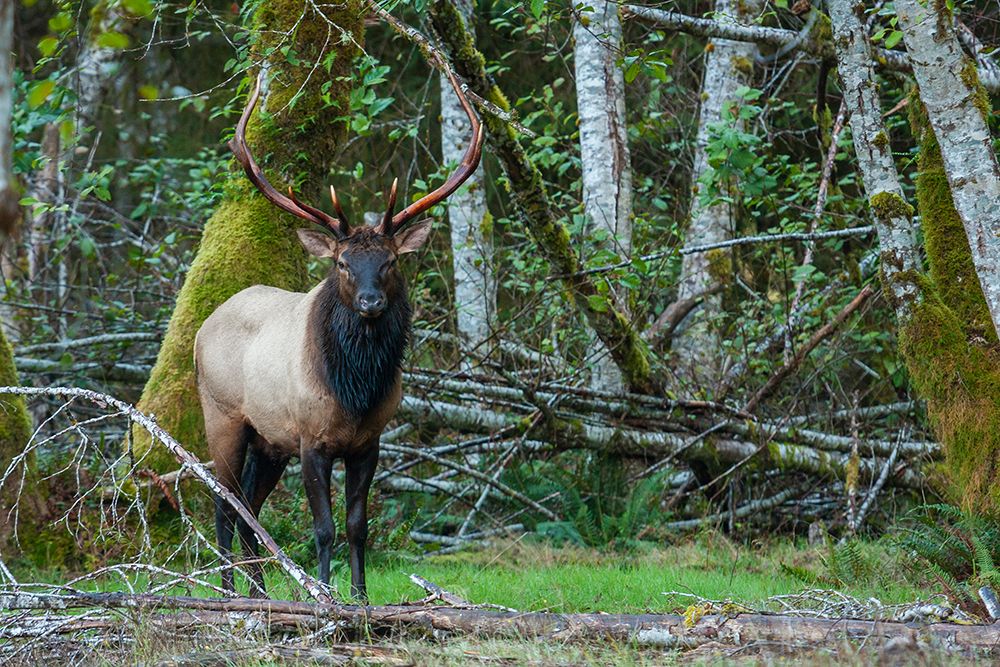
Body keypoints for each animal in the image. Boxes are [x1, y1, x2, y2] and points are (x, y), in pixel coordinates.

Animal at [194, 68, 483, 601]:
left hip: (269, 441)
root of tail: (204, 326)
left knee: (249, 509)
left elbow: (357, 526)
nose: (371, 302)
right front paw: (324, 595)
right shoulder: (312, 439)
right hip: (222, 416)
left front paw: (362, 598)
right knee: (224, 503)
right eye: (343, 263)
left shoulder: (369, 442)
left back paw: (259, 591)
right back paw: (229, 591)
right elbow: (323, 528)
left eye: (390, 261)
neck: (355, 389)